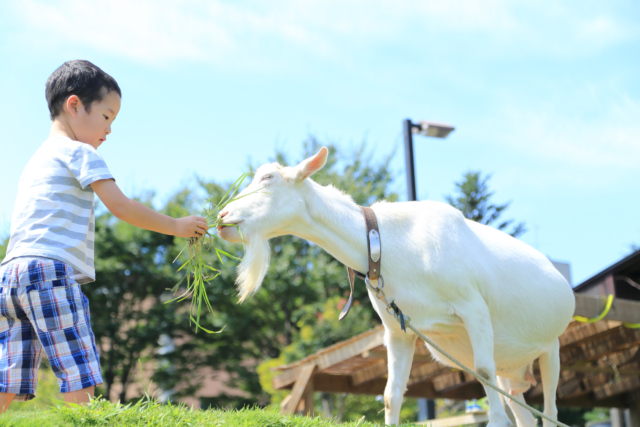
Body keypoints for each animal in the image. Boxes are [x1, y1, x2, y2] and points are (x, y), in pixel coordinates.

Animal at [219, 148, 576, 427]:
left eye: (268, 179)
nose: (222, 216)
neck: (383, 242)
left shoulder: (473, 308)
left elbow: (483, 372)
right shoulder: (397, 328)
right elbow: (391, 394)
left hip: (552, 346)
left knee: (549, 409)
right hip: (513, 367)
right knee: (520, 404)